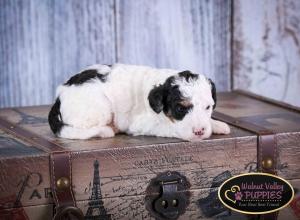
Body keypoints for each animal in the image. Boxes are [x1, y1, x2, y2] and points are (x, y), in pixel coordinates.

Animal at [48, 63, 230, 142]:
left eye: (208, 107)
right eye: (180, 108)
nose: (199, 131)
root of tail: (59, 96)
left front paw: (217, 124)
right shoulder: (142, 123)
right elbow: (169, 128)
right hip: (100, 108)